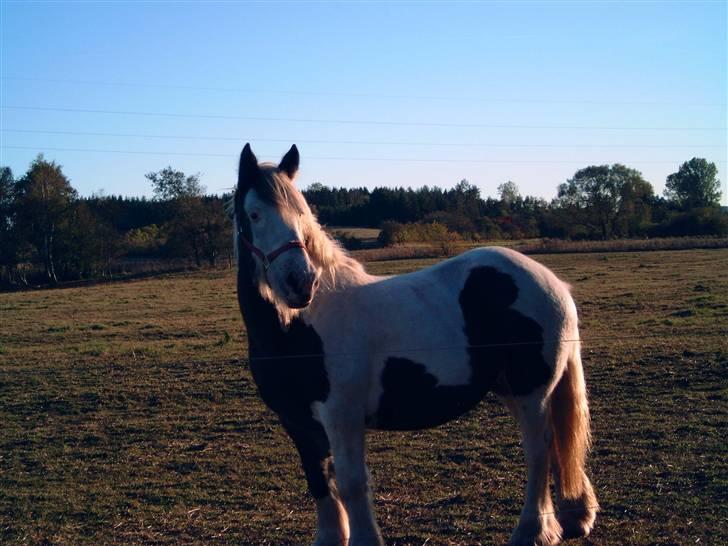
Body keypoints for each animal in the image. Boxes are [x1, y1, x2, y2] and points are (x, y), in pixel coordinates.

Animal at [232, 142, 596, 540]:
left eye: (302, 213)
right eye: (254, 214)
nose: (301, 282)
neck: (297, 327)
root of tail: (553, 282)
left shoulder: (342, 416)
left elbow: (351, 484)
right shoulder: (298, 422)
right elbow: (320, 483)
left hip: (532, 391)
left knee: (539, 451)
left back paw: (532, 532)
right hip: (512, 389)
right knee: (556, 445)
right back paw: (574, 518)